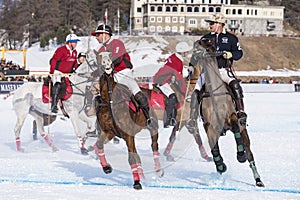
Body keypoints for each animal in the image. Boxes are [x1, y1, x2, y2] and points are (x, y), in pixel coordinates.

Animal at [94, 51, 163, 189]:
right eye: (99, 58)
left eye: (110, 56)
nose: (107, 66)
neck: (110, 101)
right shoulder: (108, 132)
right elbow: (99, 144)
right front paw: (107, 168)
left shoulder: (128, 135)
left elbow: (131, 159)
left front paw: (136, 183)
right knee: (138, 156)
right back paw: (143, 176)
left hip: (153, 127)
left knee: (154, 146)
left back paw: (158, 171)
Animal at [192, 38, 264, 187]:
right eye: (200, 40)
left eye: (208, 42)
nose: (195, 47)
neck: (215, 93)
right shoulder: (209, 125)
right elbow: (214, 149)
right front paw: (220, 165)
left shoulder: (232, 117)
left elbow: (236, 128)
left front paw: (240, 155)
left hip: (244, 131)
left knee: (250, 153)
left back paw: (258, 180)